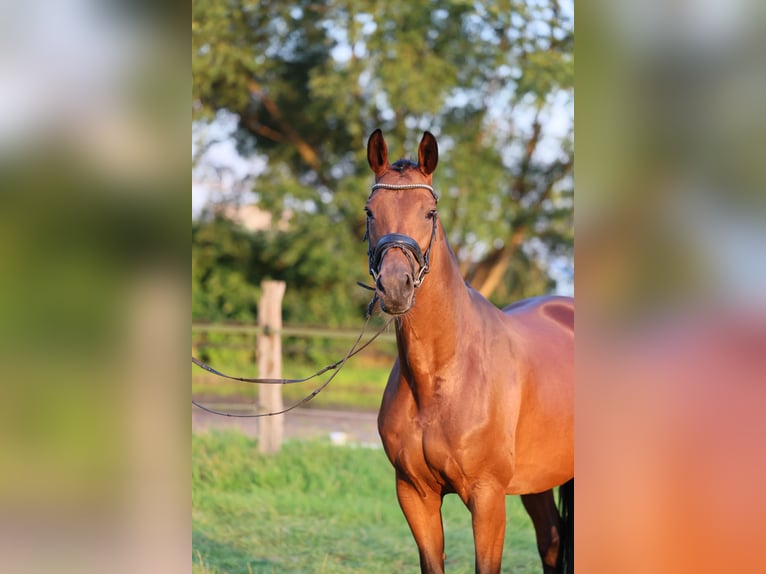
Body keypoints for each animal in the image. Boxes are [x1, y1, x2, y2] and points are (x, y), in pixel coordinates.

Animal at [368, 132, 576, 574]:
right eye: (370, 211)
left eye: (430, 213)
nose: (395, 287)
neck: (441, 376)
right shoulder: (414, 494)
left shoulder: (487, 497)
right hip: (540, 479)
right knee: (552, 542)